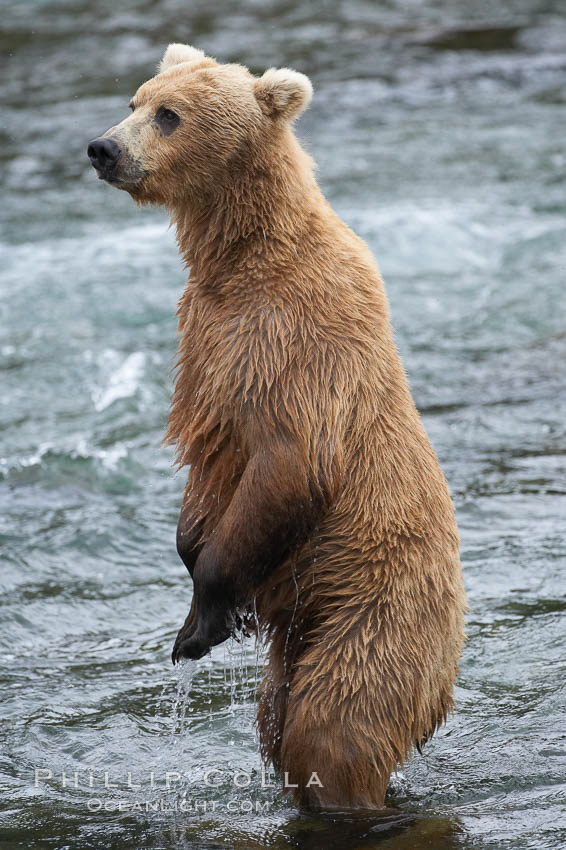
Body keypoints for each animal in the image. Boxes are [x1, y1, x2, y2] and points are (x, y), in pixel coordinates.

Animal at [89, 41, 468, 808]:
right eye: (135, 97)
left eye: (169, 115)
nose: (103, 147)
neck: (242, 253)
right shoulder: (207, 341)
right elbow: (209, 477)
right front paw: (193, 560)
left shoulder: (293, 345)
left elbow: (290, 465)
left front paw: (200, 618)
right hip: (299, 631)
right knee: (276, 717)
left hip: (376, 608)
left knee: (335, 725)